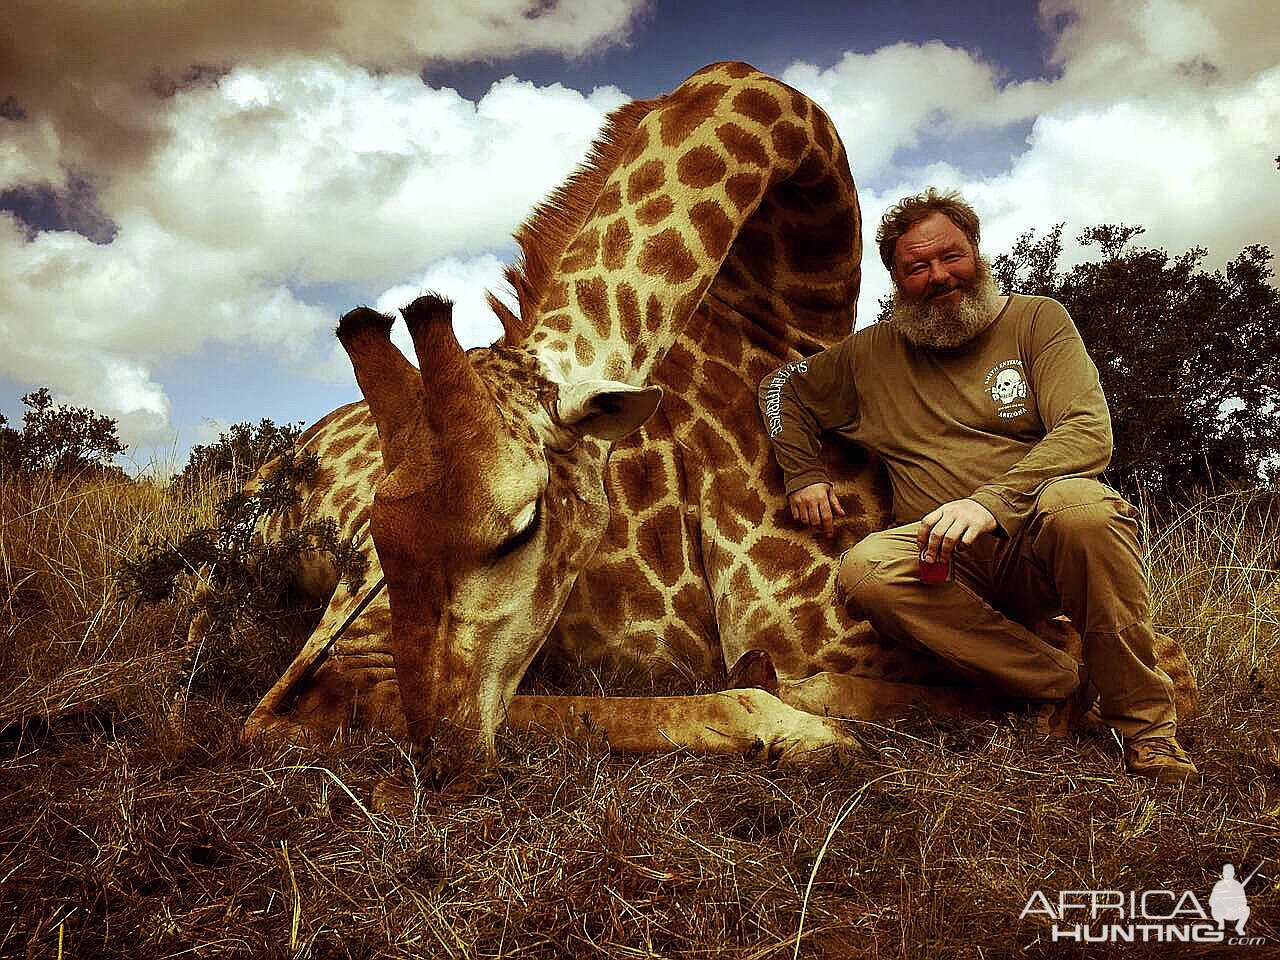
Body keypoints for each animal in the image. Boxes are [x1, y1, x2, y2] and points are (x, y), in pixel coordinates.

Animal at [217, 62, 1187, 768]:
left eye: (522, 525)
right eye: (390, 539)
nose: (444, 752)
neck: (787, 309)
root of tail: (265, 488)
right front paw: (807, 712)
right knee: (306, 705)